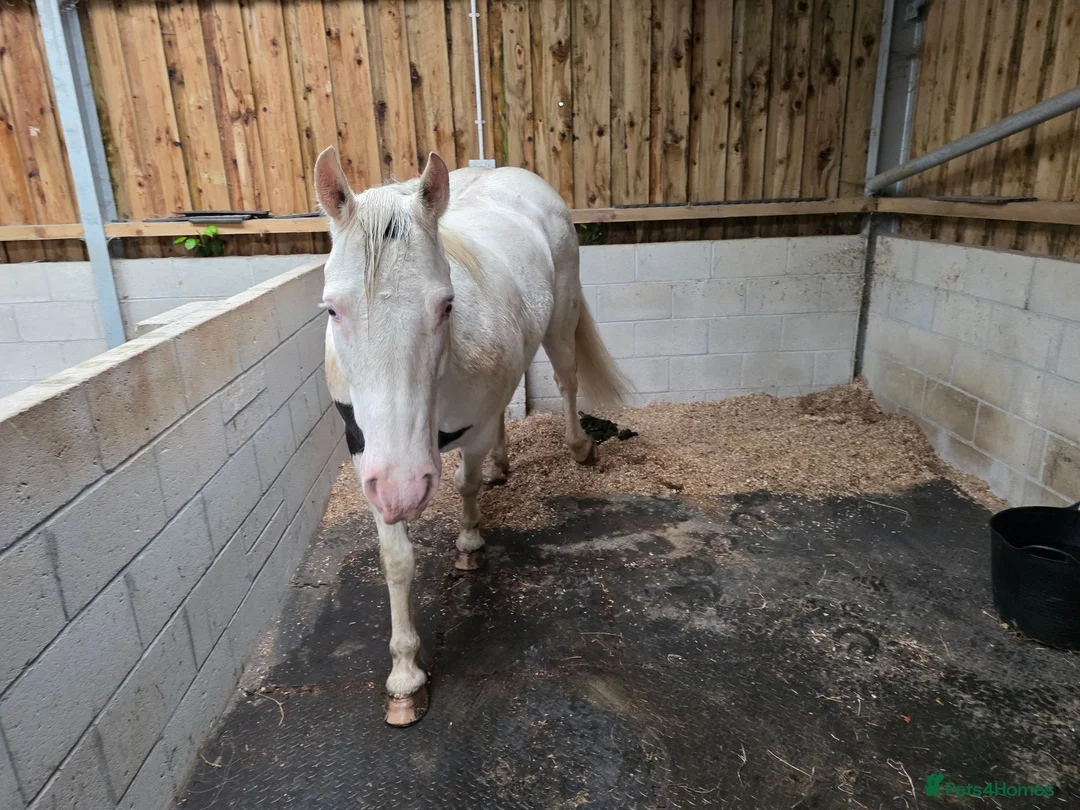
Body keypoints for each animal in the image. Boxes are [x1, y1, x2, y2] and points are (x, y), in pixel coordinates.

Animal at [316, 147, 627, 726]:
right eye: (331, 308)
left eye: (446, 305)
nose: (403, 489)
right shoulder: (367, 457)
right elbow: (396, 559)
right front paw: (405, 677)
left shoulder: (470, 432)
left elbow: (465, 483)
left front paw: (468, 542)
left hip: (562, 319)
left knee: (567, 379)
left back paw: (579, 447)